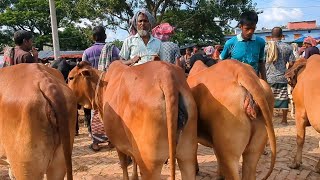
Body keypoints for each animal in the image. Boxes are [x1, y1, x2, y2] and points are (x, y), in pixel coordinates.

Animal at [67, 60, 198, 180]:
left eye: (70, 77)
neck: (103, 86)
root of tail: (167, 76)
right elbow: (134, 161)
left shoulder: (118, 143)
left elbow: (124, 164)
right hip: (187, 155)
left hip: (150, 165)